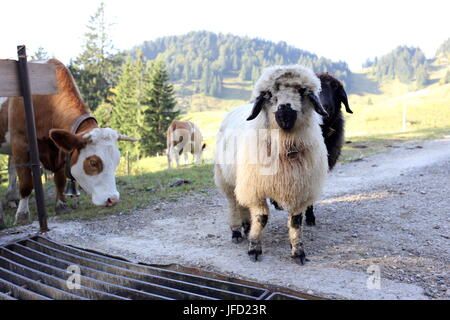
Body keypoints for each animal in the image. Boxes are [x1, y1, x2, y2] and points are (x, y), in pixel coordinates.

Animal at [0, 60, 137, 225]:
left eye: (117, 161)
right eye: (93, 163)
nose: (113, 199)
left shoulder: (59, 148)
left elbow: (60, 180)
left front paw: (61, 205)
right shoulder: (20, 143)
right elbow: (26, 183)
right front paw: (22, 215)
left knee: (11, 168)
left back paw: (11, 198)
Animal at [214, 63, 326, 264]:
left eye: (301, 91)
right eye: (270, 94)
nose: (285, 113)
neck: (284, 147)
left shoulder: (300, 188)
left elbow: (295, 221)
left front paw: (298, 251)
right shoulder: (256, 187)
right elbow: (262, 217)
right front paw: (254, 248)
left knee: (242, 203)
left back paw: (246, 225)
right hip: (226, 178)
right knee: (233, 203)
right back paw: (236, 231)